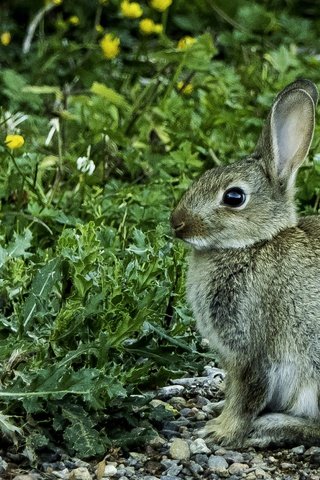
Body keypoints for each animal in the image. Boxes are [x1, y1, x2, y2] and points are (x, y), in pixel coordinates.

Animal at [172, 79, 320, 450]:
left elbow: (247, 394)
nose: (177, 223)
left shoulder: (252, 352)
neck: (253, 245)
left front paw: (220, 431)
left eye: (234, 197)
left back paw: (273, 427)